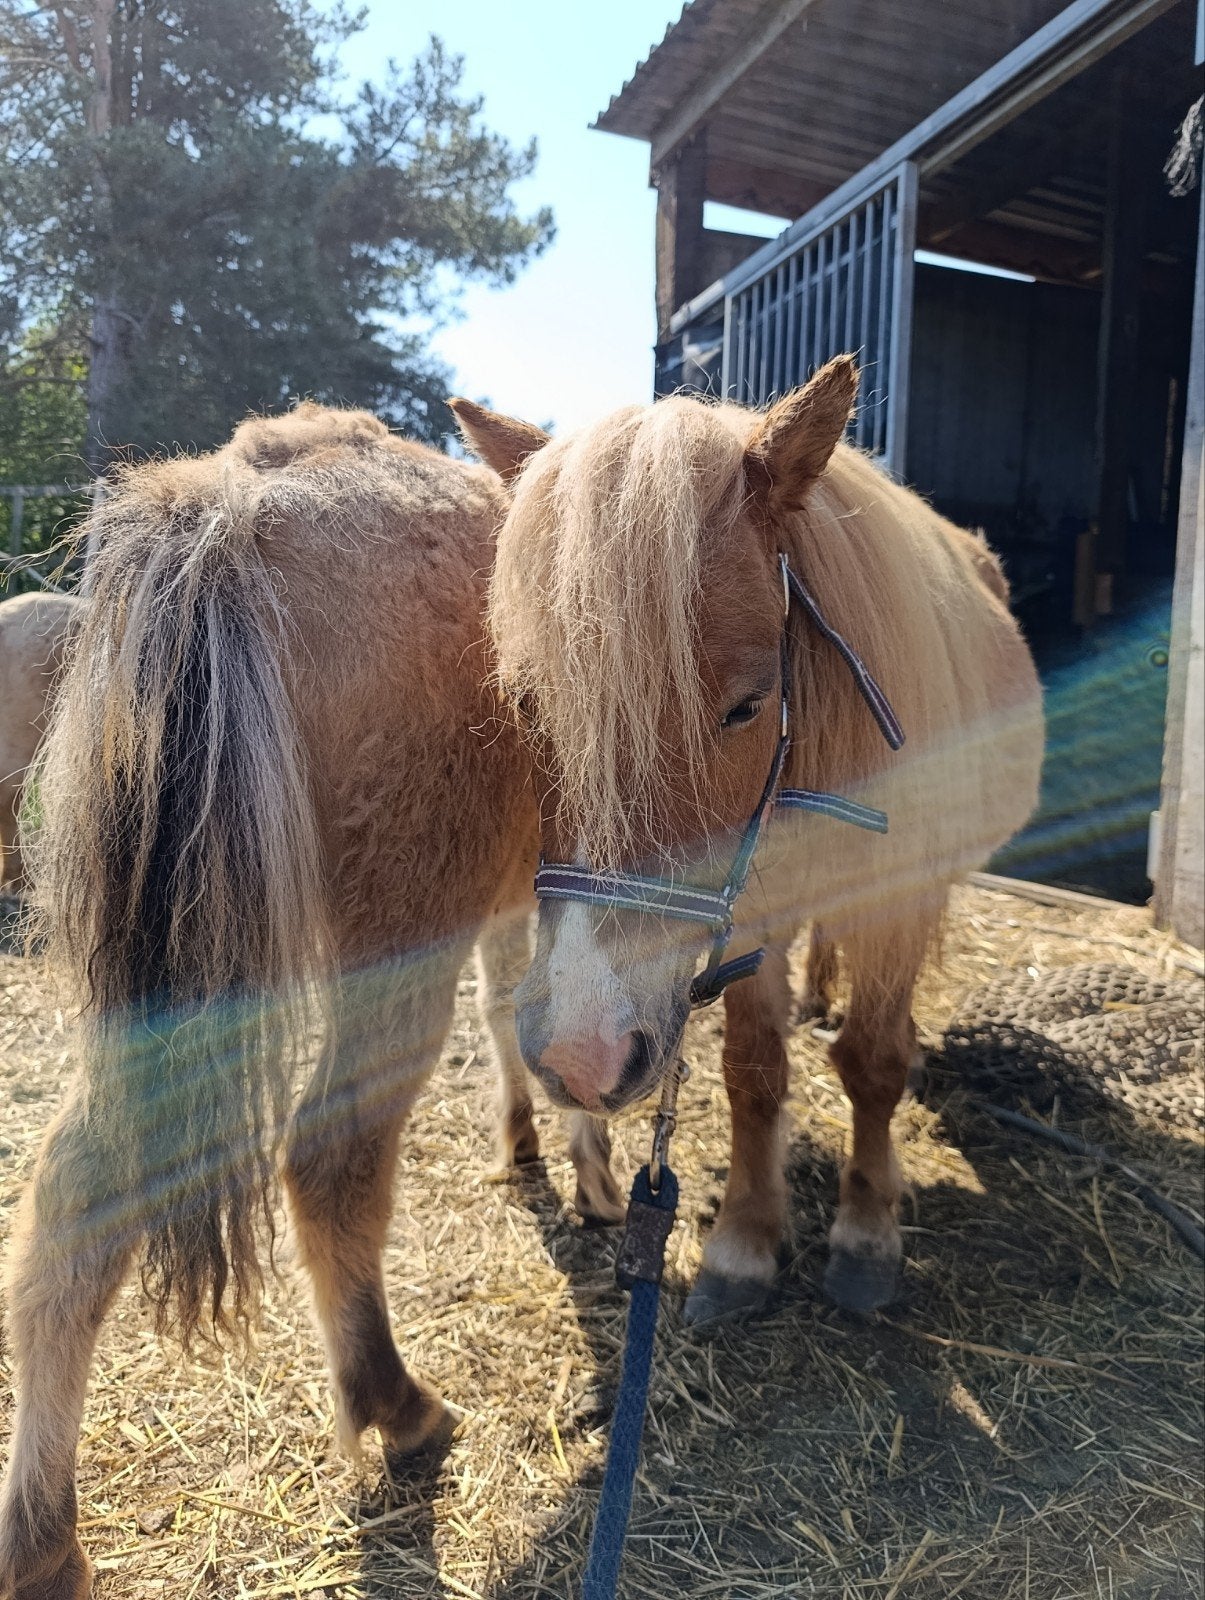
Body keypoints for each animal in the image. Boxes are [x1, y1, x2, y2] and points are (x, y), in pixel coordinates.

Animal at [452, 356, 1044, 1325]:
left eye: (744, 706)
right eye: (529, 702)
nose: (582, 1054)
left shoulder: (900, 900)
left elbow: (873, 1062)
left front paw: (865, 1234)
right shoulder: (750, 909)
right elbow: (752, 1072)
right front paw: (743, 1244)